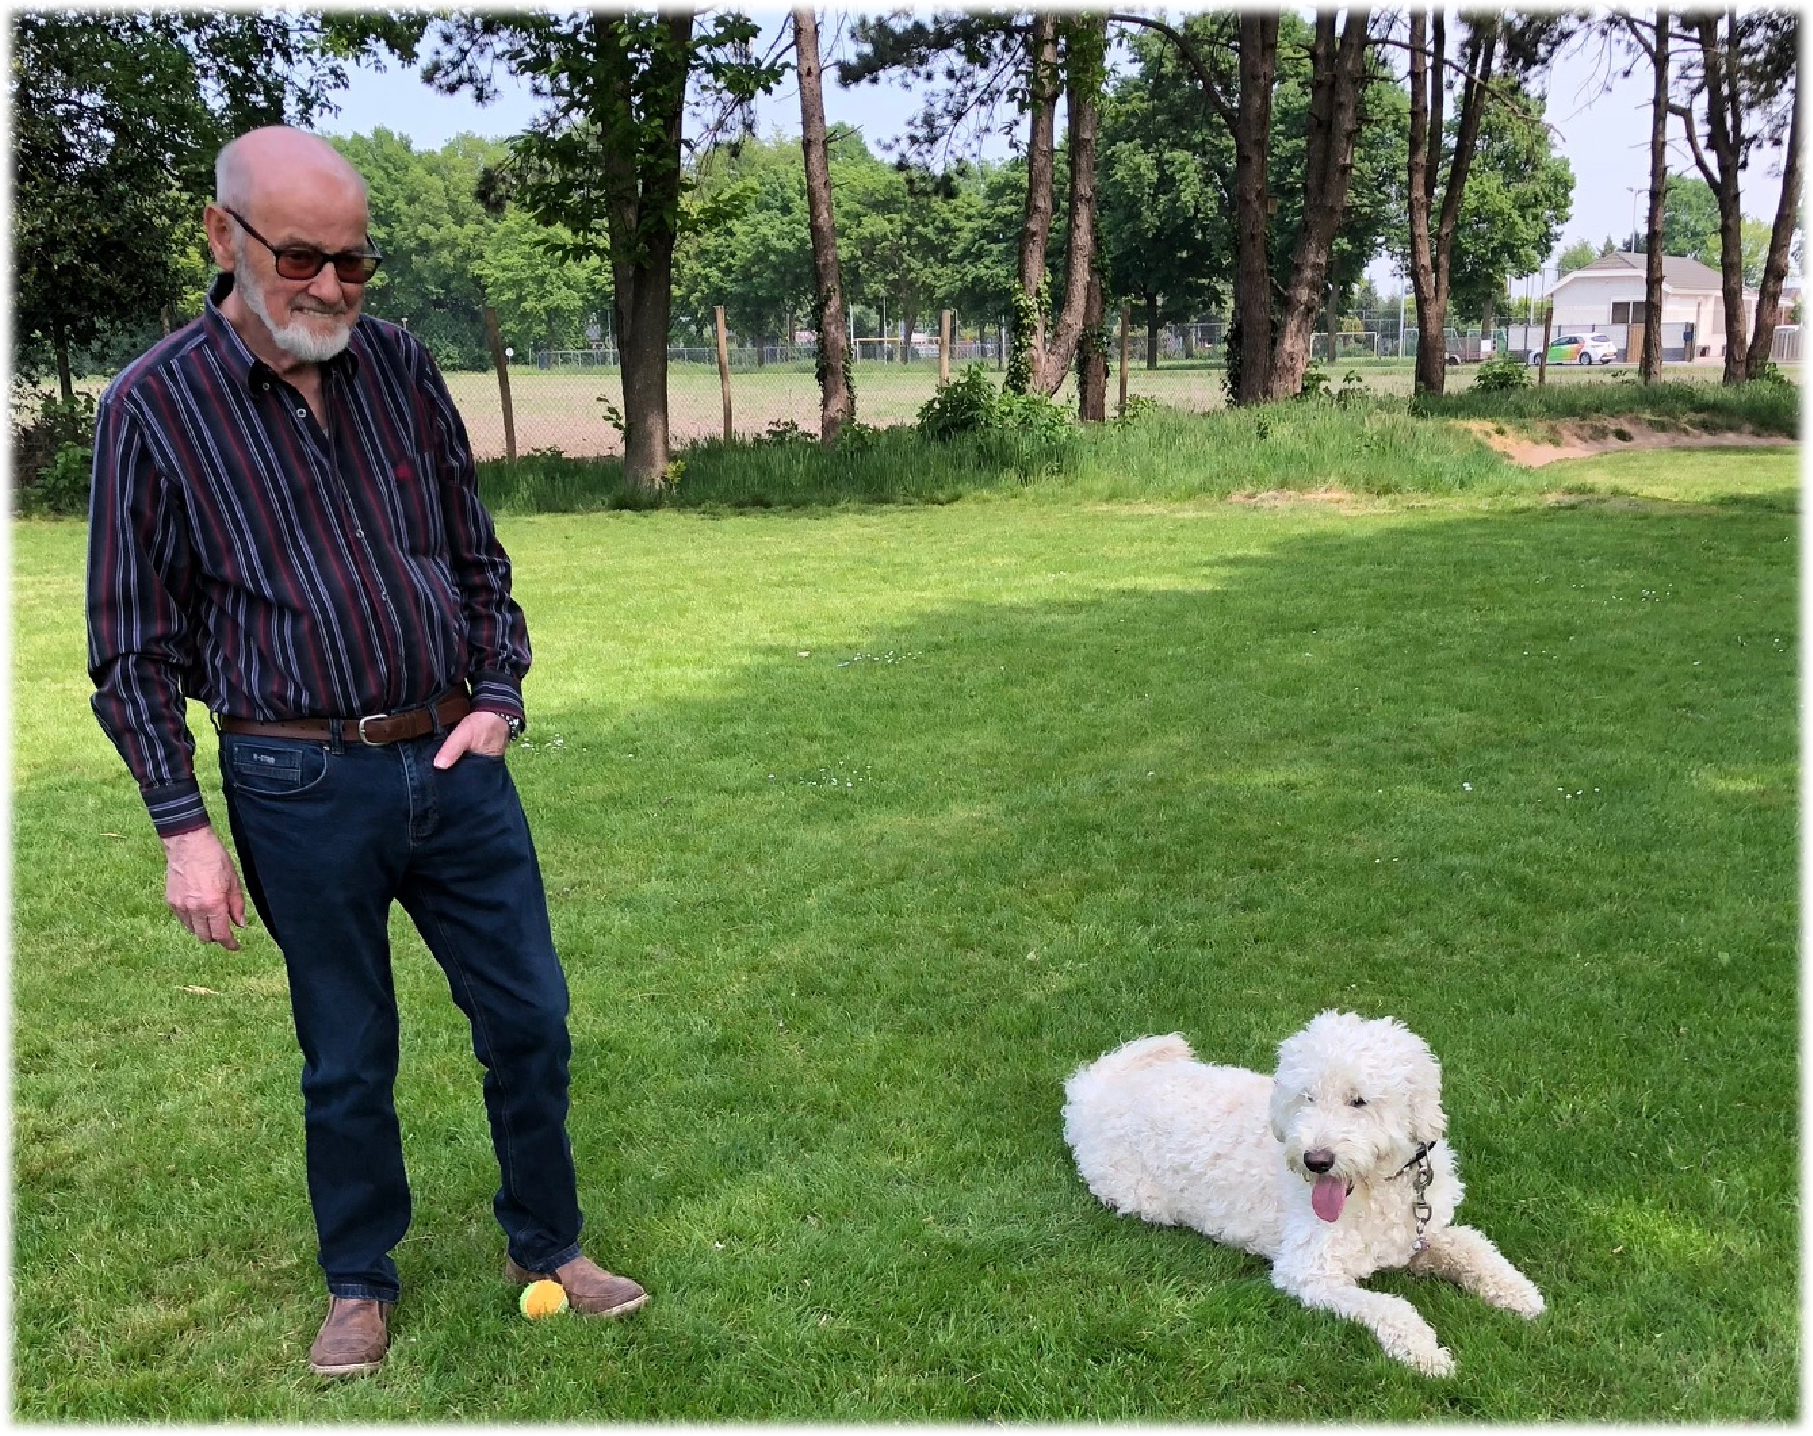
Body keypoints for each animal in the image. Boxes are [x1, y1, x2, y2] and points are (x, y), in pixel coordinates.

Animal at [1061, 1012, 1543, 1376]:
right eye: (1306, 1098)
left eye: (1359, 1100)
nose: (1316, 1160)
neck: (1375, 1190)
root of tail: (1091, 1092)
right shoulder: (1310, 1271)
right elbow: (1392, 1306)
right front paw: (1426, 1354)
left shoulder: (1418, 1234)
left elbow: (1472, 1246)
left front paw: (1520, 1294)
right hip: (1140, 1197)